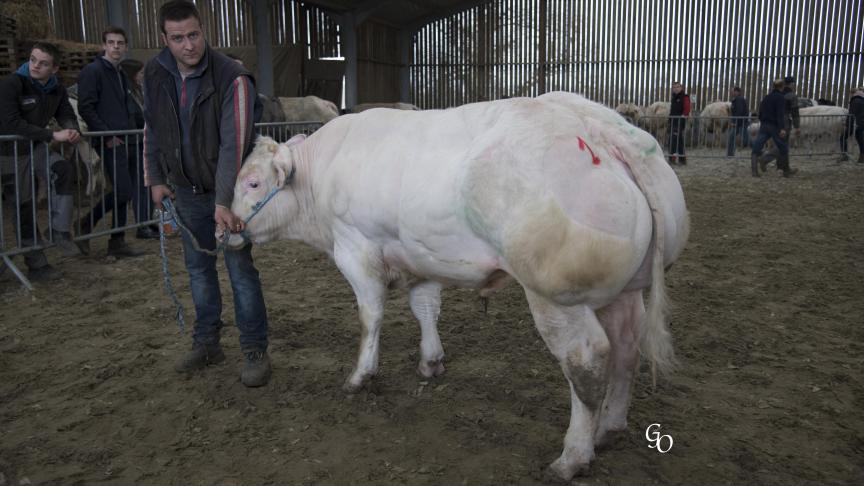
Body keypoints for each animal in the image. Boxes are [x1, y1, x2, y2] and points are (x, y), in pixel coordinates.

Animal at [226, 93, 692, 480]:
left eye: (252, 183)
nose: (224, 227)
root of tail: (598, 128)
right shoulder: (417, 254)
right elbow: (425, 307)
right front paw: (431, 362)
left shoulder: (355, 248)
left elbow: (370, 316)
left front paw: (360, 376)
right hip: (622, 291)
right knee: (628, 348)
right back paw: (608, 428)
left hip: (557, 295)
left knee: (588, 360)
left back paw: (572, 457)